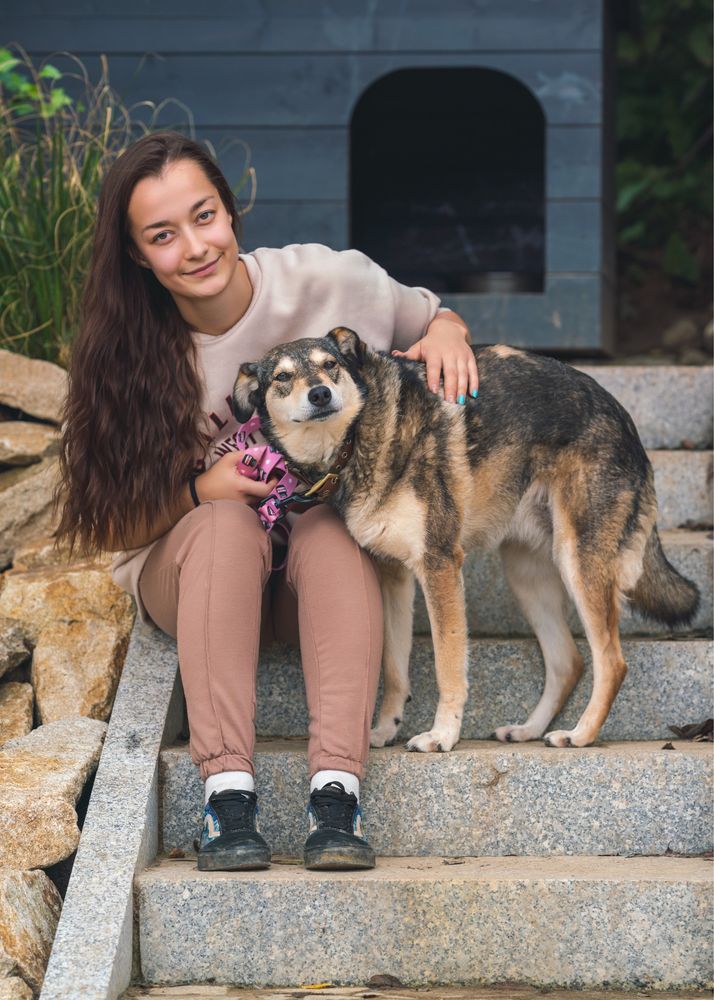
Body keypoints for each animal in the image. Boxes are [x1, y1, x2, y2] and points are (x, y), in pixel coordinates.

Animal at [231, 328, 700, 752]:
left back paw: (580, 734)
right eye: (283, 377)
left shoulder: (439, 565)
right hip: (527, 576)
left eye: (330, 365)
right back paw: (528, 730)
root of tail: (624, 417)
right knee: (569, 661)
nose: (320, 395)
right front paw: (385, 730)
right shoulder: (393, 575)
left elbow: (448, 665)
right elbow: (394, 667)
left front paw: (442, 736)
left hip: (578, 562)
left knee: (612, 662)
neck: (356, 441)